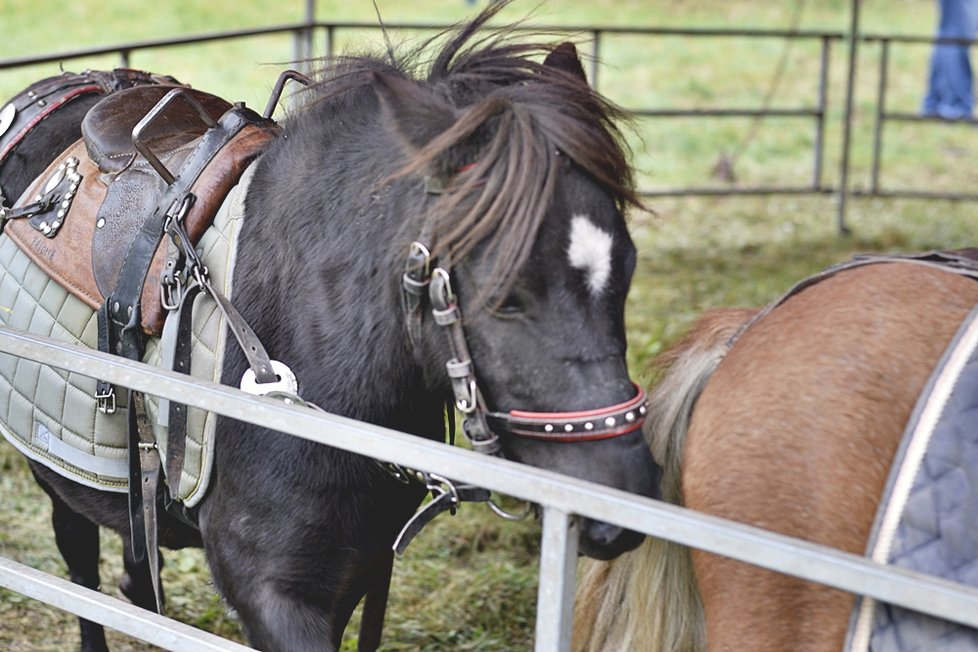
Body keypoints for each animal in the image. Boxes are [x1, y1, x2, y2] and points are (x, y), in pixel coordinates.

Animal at [0, 6, 660, 652]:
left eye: (628, 267)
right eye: (506, 294)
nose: (622, 501)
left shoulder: (365, 567)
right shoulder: (274, 596)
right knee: (79, 556)